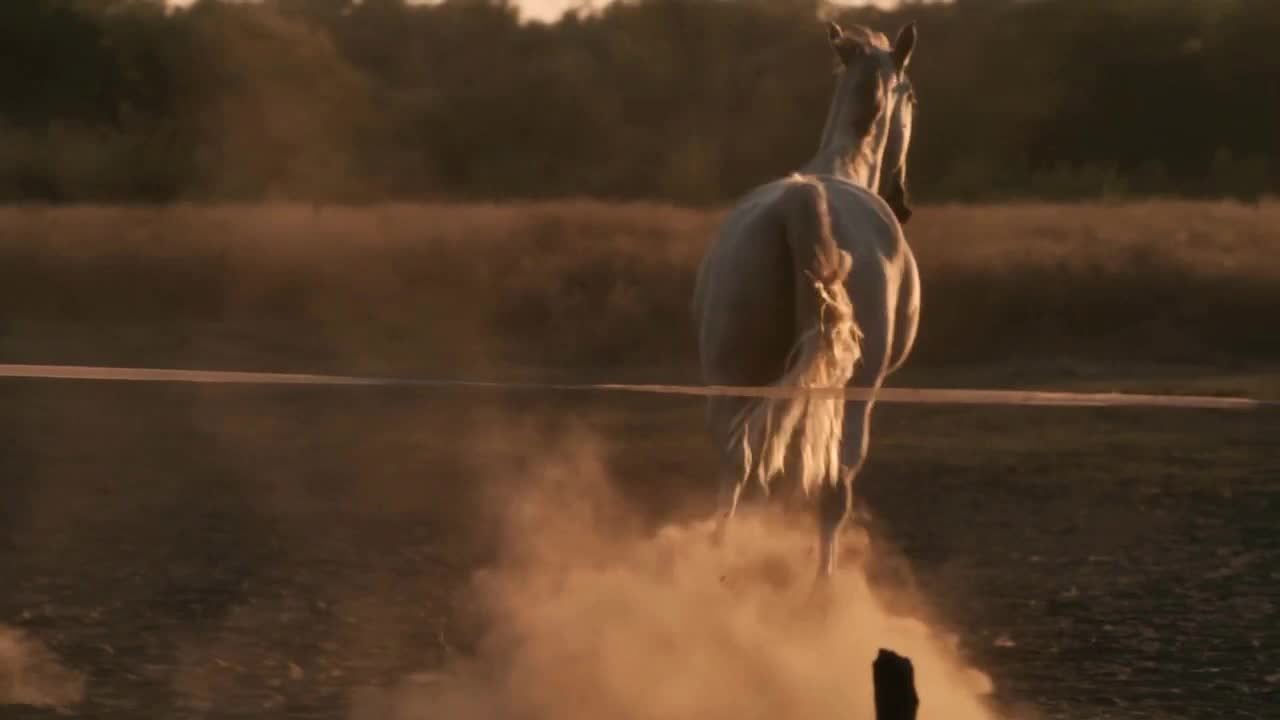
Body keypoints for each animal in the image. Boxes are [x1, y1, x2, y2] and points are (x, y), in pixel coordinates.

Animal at [696, 20, 916, 576]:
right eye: (913, 97)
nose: (903, 201)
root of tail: (802, 202)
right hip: (854, 391)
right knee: (834, 485)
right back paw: (821, 587)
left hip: (731, 378)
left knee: (735, 465)